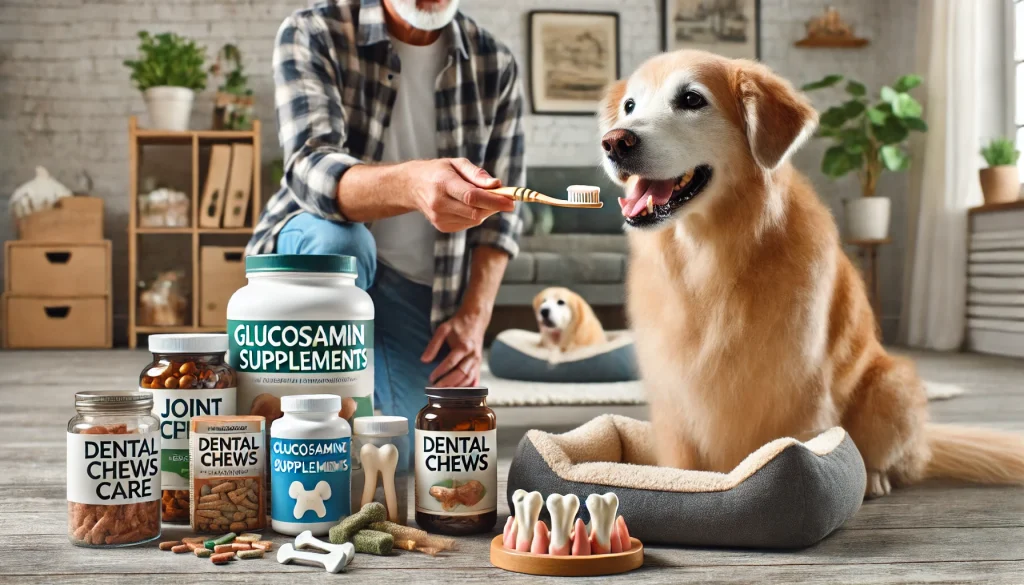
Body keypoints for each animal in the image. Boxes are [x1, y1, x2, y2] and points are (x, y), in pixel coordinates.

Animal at [598, 51, 1024, 499]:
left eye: (691, 99)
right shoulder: (673, 390)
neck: (710, 257)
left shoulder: (798, 383)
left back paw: (874, 479)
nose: (614, 141)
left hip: (893, 383)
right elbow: (682, 461)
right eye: (630, 106)